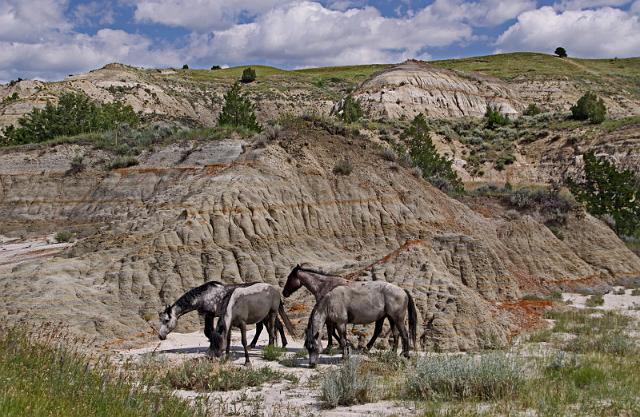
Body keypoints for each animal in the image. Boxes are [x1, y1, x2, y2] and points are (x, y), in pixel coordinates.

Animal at [156, 280, 286, 348]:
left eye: (166, 320)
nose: (160, 336)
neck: (204, 296)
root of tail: (273, 289)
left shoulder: (210, 315)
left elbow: (208, 332)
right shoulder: (208, 316)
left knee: (274, 326)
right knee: (267, 327)